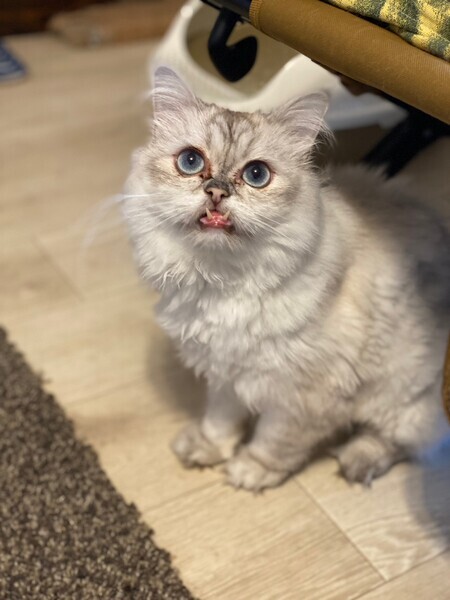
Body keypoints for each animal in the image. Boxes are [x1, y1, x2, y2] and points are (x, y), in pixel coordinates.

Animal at [122, 66, 450, 491]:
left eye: (256, 175)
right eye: (190, 162)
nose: (216, 192)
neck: (222, 280)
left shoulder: (302, 393)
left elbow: (275, 440)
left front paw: (250, 471)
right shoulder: (225, 371)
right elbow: (221, 420)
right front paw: (208, 449)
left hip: (407, 400)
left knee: (400, 443)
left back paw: (355, 460)